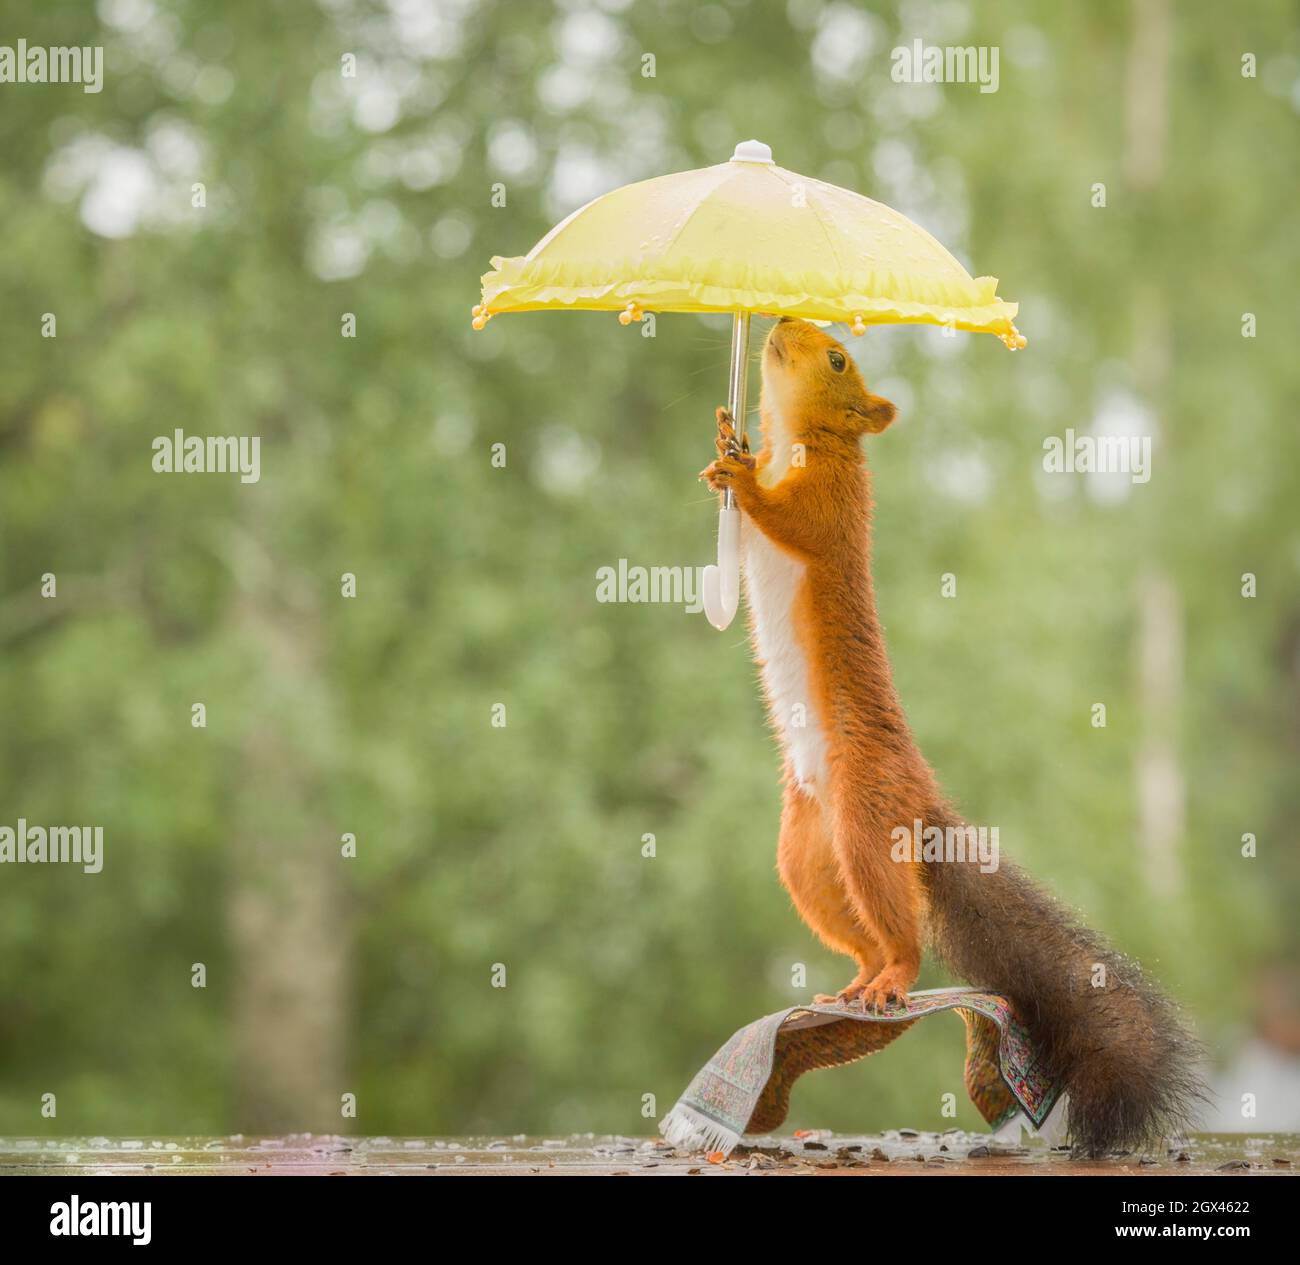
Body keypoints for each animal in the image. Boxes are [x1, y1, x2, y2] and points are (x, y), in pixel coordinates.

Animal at [707, 318, 1201, 1154]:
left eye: (837, 356)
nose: (781, 323)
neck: (804, 441)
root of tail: (921, 798)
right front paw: (722, 443)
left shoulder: (834, 503)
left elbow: (793, 521)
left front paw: (742, 475)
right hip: (807, 851)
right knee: (865, 933)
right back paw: (859, 981)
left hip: (864, 818)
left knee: (900, 934)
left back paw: (892, 981)